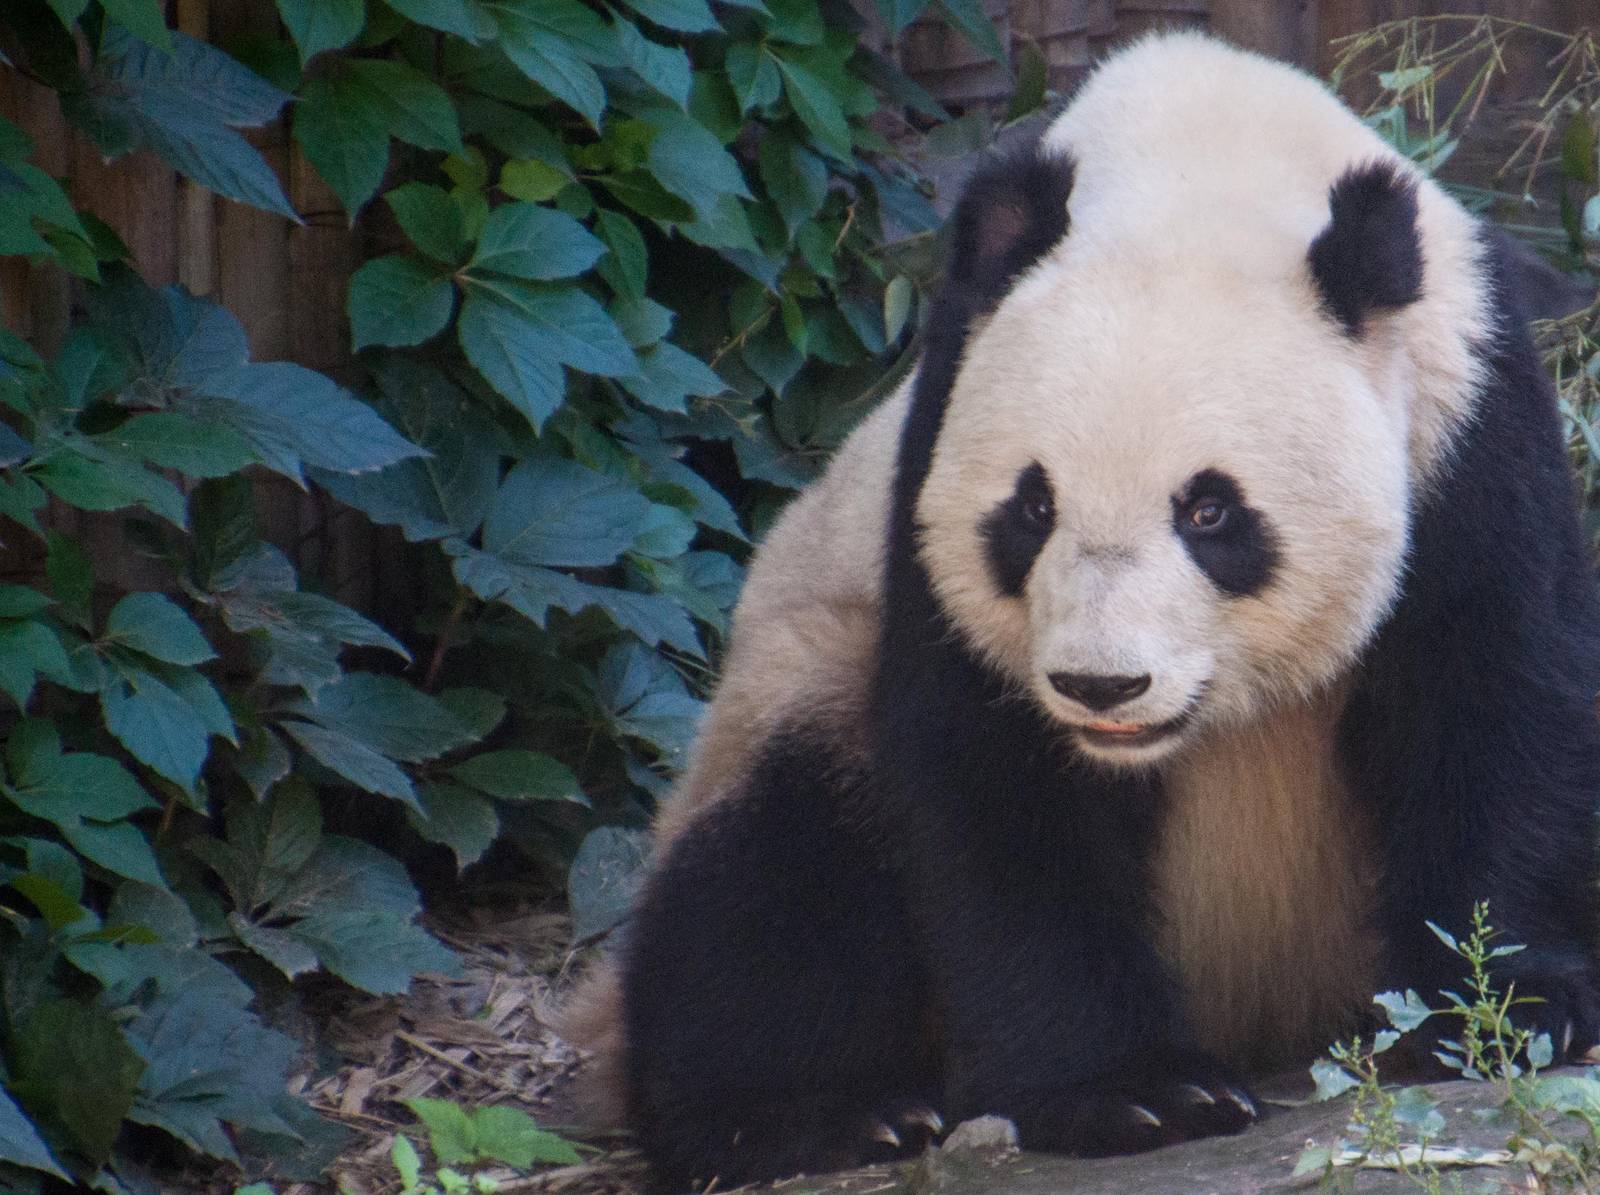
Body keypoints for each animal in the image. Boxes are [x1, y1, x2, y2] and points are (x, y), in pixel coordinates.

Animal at [558, 30, 1600, 1193]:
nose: (1102, 684)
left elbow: (1492, 697)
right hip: (798, 673)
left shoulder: (1469, 416)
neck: (1201, 159)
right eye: (1032, 507)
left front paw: (1491, 1012)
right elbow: (993, 777)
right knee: (771, 880)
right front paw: (1135, 1094)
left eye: (1209, 510)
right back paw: (813, 1116)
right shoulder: (940, 431)